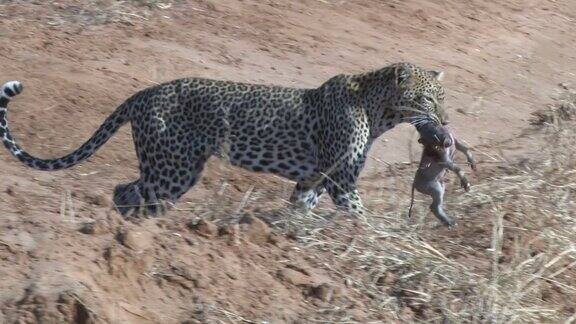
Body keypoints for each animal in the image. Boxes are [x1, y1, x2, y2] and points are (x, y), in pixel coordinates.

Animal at [0, 62, 448, 216]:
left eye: (443, 98)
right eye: (427, 98)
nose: (444, 121)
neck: (379, 111)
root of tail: (143, 93)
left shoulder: (313, 178)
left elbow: (301, 208)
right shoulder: (341, 179)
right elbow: (358, 214)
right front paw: (378, 238)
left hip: (168, 168)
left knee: (125, 190)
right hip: (173, 168)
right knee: (130, 192)